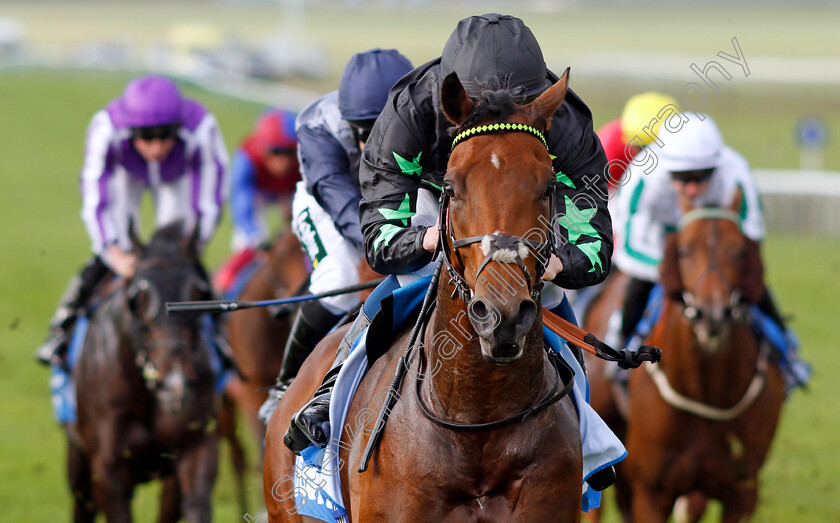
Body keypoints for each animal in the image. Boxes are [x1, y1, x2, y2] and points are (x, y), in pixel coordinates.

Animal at [66, 223, 220, 520]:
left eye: (199, 293)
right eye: (137, 297)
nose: (175, 380)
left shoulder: (196, 446)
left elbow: (196, 503)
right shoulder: (109, 469)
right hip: (78, 459)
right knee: (82, 505)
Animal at [620, 192, 784, 523]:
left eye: (741, 252)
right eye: (683, 250)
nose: (713, 315)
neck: (705, 391)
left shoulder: (741, 493)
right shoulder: (650, 492)